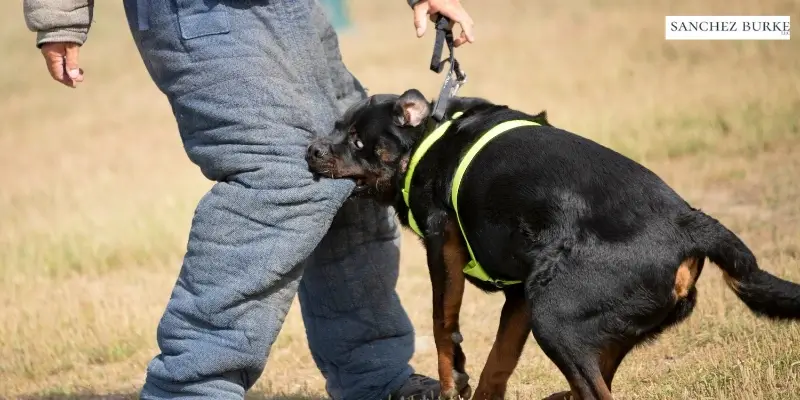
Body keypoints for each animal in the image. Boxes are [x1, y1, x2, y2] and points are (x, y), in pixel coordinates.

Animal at [304, 90, 796, 400]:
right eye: (336, 126)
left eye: (357, 140)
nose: (311, 150)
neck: (428, 138)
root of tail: (689, 222)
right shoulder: (520, 293)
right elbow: (497, 363)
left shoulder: (441, 243)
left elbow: (444, 327)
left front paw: (450, 382)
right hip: (575, 315)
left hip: (555, 314)